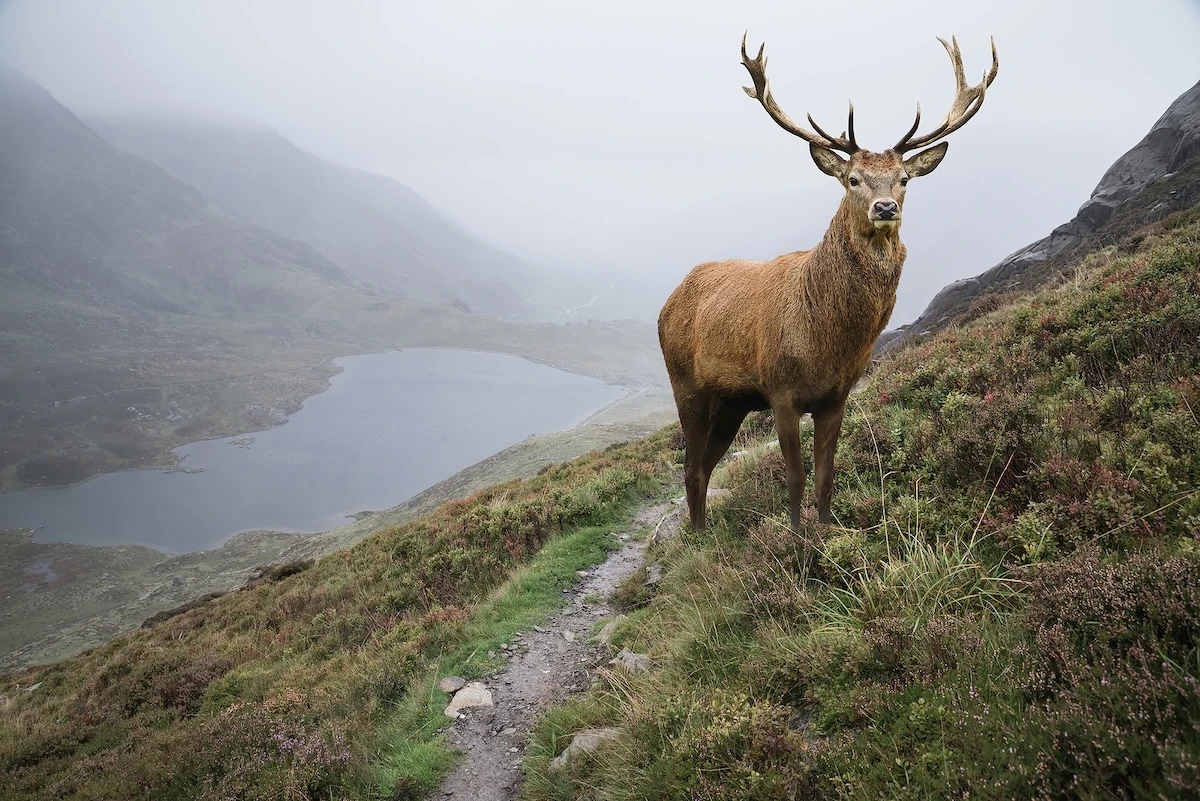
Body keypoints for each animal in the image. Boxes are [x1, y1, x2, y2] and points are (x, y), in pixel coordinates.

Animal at [658, 33, 998, 536]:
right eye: (852, 178)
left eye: (903, 179)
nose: (884, 208)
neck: (826, 341)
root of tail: (666, 302)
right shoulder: (781, 392)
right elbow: (795, 478)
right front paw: (798, 542)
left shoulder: (837, 396)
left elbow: (825, 476)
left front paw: (825, 532)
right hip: (686, 385)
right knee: (691, 466)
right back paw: (697, 539)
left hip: (732, 403)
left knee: (704, 465)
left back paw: (701, 535)